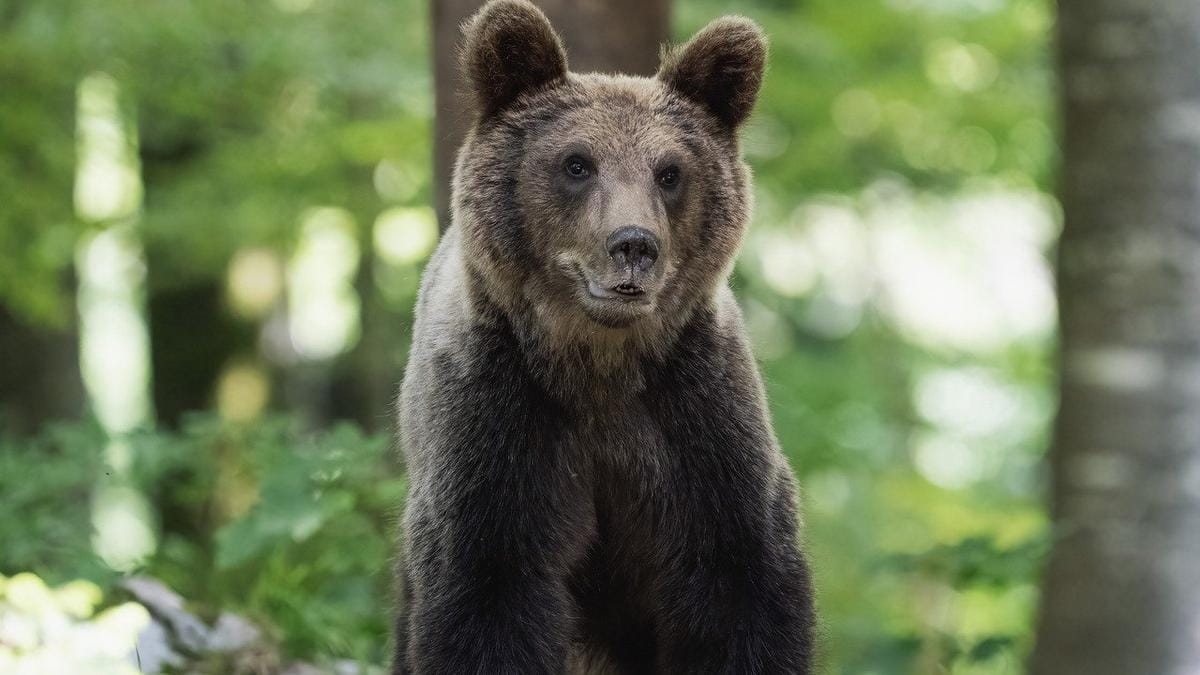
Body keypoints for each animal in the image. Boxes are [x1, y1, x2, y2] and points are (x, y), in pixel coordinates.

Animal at [393, 2, 816, 667]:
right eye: (577, 163)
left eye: (669, 172)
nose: (634, 245)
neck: (599, 364)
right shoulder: (496, 425)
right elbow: (488, 593)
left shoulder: (698, 424)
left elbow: (741, 584)